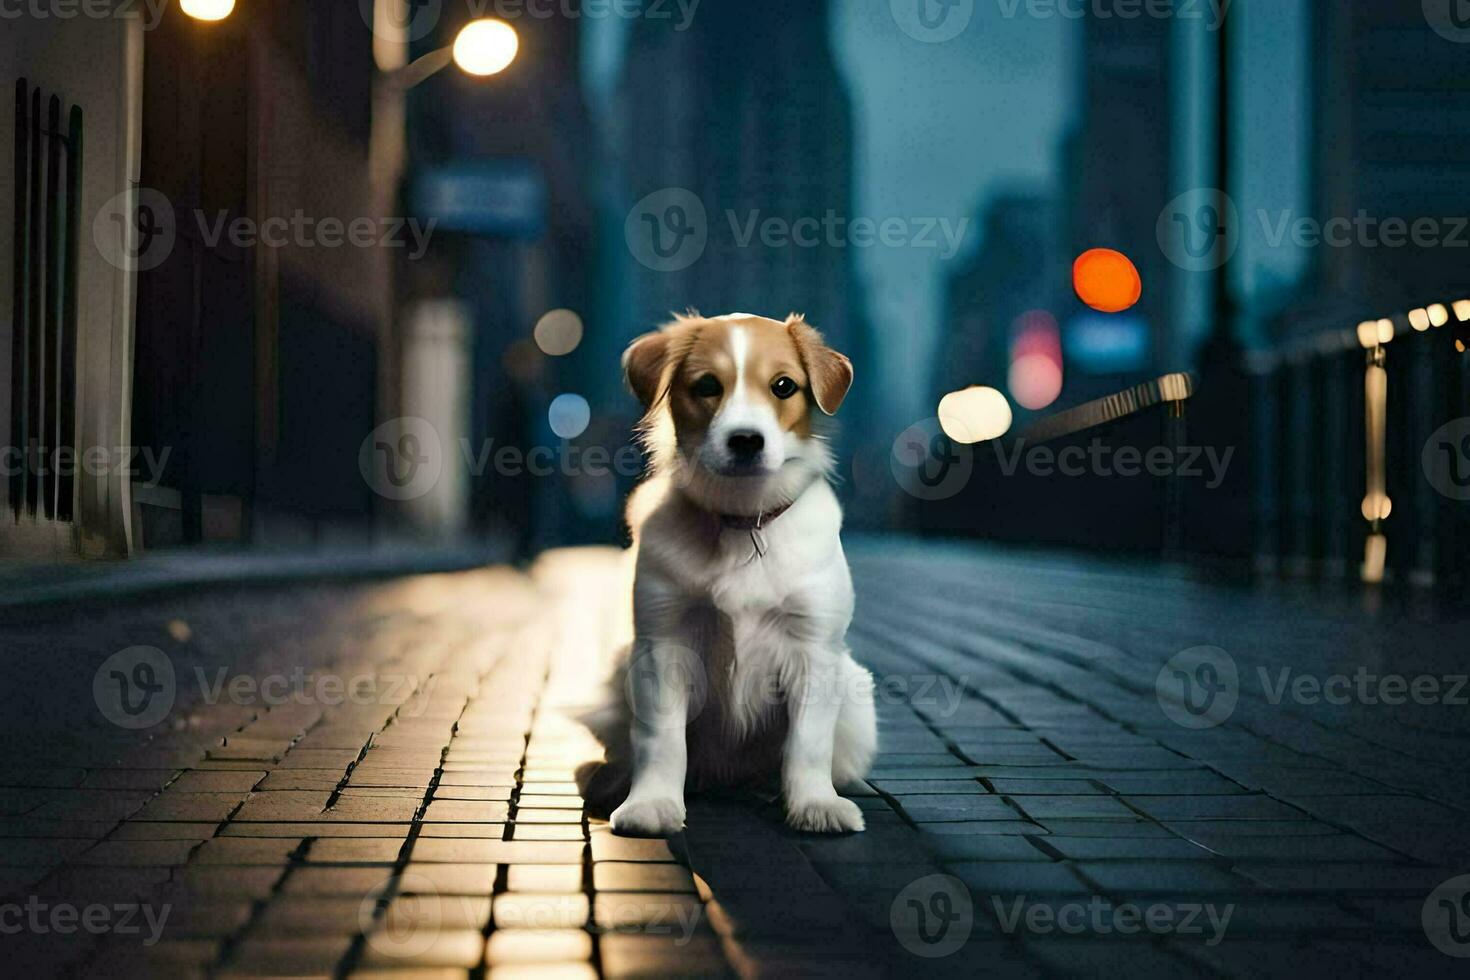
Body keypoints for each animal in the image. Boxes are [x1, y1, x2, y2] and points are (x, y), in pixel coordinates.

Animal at [573, 312, 870, 834]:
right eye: (707, 385)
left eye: (783, 386)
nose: (746, 440)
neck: (741, 519)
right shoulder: (664, 643)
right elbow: (661, 738)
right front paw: (652, 803)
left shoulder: (814, 648)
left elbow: (809, 742)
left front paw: (815, 804)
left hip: (856, 695)